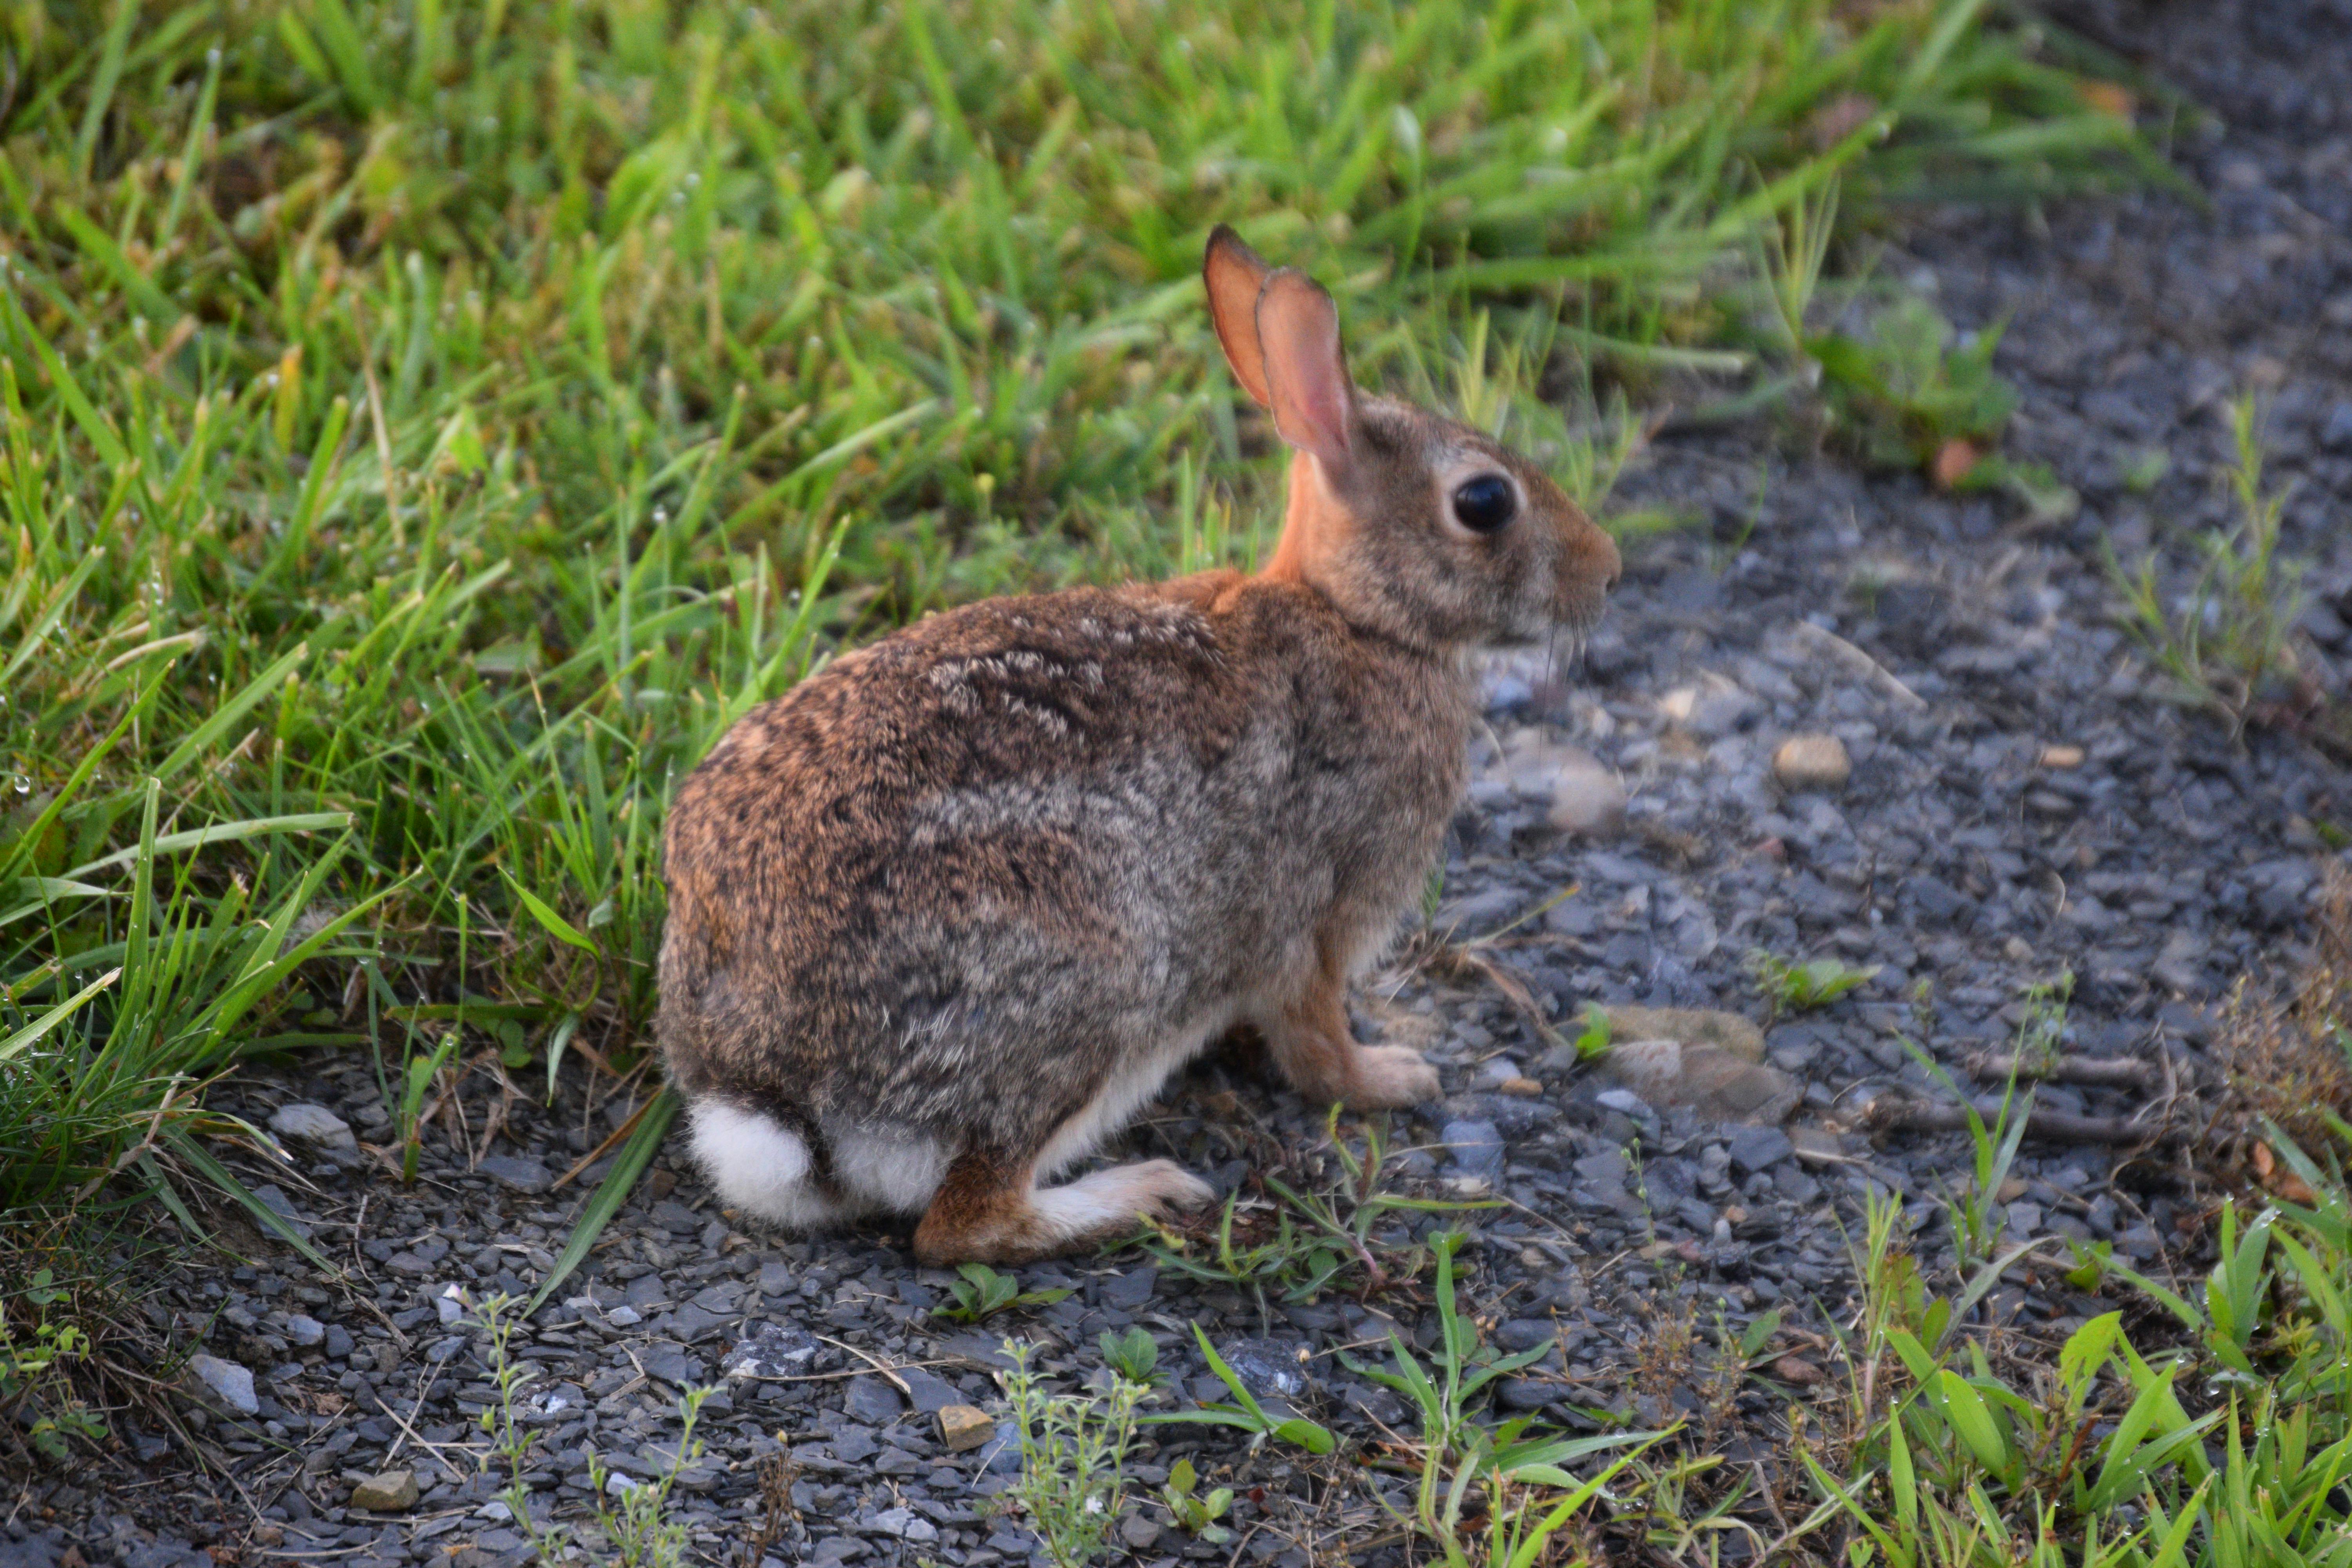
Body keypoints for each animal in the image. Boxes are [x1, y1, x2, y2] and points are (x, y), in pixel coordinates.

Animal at [654, 227, 1628, 1269]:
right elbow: (1317, 1042)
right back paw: (1146, 1192)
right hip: (1096, 985)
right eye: (1484, 501)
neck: (1358, 620)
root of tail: (770, 1087)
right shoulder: (1318, 918)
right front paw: (1394, 1077)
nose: (1609, 572)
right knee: (967, 1223)